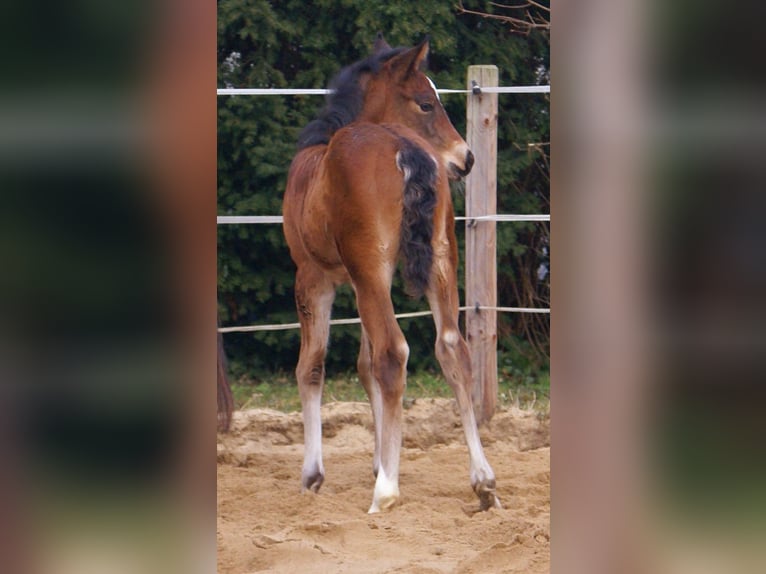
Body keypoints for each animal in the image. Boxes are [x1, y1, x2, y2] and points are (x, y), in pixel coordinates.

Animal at [284, 33, 500, 516]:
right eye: (426, 103)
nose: (467, 159)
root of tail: (404, 147)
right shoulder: (361, 280)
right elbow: (365, 368)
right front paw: (380, 459)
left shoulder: (313, 277)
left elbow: (313, 365)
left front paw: (313, 475)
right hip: (437, 262)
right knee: (452, 348)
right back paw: (483, 480)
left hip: (369, 271)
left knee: (393, 352)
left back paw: (386, 492)